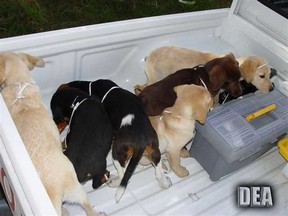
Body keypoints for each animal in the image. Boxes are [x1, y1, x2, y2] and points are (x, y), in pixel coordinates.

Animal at [135, 45, 274, 93]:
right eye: (262, 76)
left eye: (270, 74)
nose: (272, 89)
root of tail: (149, 57)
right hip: (156, 79)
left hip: (151, 78)